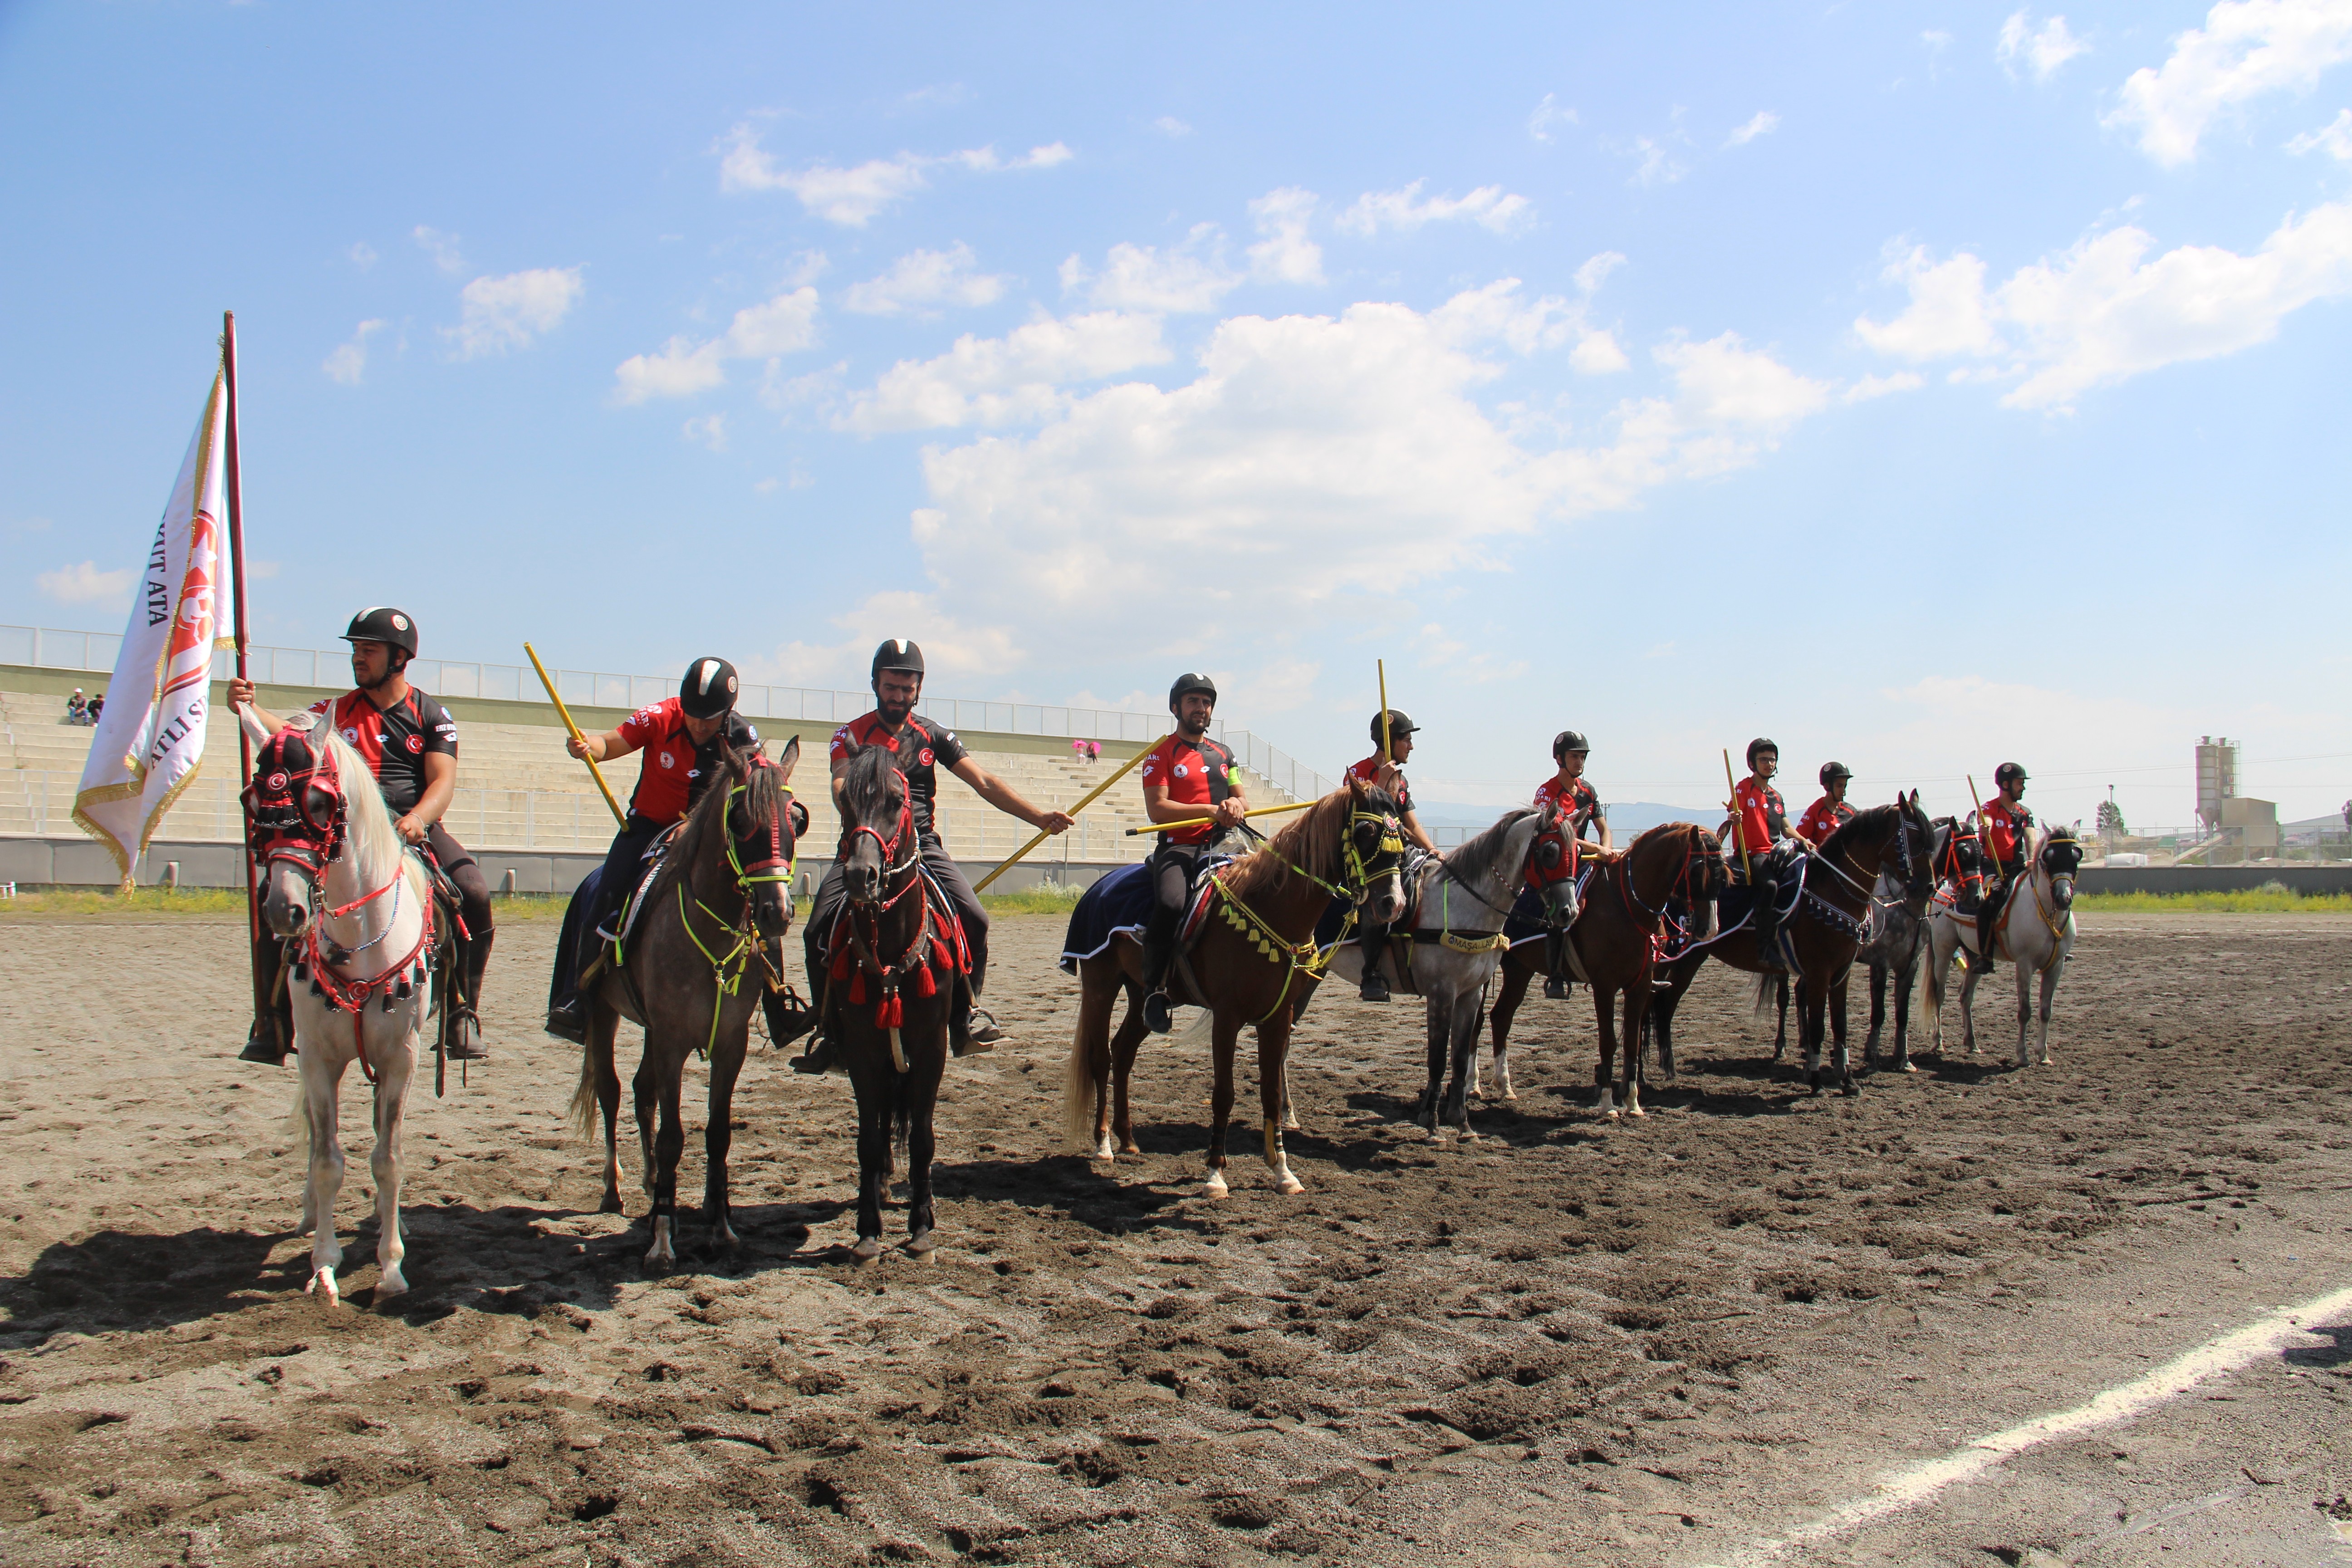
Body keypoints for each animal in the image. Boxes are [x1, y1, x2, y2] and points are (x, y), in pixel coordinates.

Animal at [250, 710, 442, 1298]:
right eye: (254, 801)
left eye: (317, 802)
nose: (283, 910)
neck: (360, 936)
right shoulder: (318, 1059)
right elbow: (328, 1159)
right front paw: (324, 1264)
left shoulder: (401, 1057)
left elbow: (389, 1157)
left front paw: (391, 1266)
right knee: (318, 1142)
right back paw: (311, 1215)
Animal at [567, 743, 799, 1269]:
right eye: (740, 819)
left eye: (795, 819)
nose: (777, 911)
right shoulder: (673, 1040)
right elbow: (674, 1136)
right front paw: (661, 1240)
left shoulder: (730, 1043)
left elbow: (718, 1133)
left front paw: (720, 1228)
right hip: (604, 1015)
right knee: (612, 1091)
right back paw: (615, 1189)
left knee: (641, 1091)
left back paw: (656, 1185)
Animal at [1072, 780, 1411, 1194]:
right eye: (1365, 831)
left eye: (1403, 836)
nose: (1393, 903)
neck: (1272, 907)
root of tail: (1099, 886)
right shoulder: (1227, 1017)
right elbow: (1224, 1094)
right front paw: (1216, 1173)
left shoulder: (1278, 1016)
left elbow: (1270, 1092)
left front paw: (1283, 1171)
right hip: (1100, 985)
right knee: (1101, 1059)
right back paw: (1103, 1143)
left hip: (1141, 995)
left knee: (1123, 1052)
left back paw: (1128, 1138)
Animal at [1646, 789, 1938, 1100]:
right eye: (1916, 839)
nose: (1929, 887)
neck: (1831, 891)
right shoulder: (1821, 972)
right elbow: (1819, 1026)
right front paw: (1816, 1079)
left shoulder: (1842, 974)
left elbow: (1840, 1024)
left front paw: (1847, 1079)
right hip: (1673, 957)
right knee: (1656, 1002)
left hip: (1692, 958)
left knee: (1665, 1004)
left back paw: (1668, 1067)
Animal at [1928, 823, 2079, 1067]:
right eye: (2047, 858)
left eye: (2076, 856)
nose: (2063, 898)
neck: (2045, 912)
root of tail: (1943, 890)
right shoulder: (2025, 965)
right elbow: (2025, 1011)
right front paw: (2023, 1055)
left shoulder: (2056, 967)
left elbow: (2046, 1011)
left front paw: (2043, 1054)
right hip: (1943, 950)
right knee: (1939, 993)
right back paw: (1938, 1041)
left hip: (1974, 957)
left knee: (1965, 995)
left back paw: (1972, 1042)